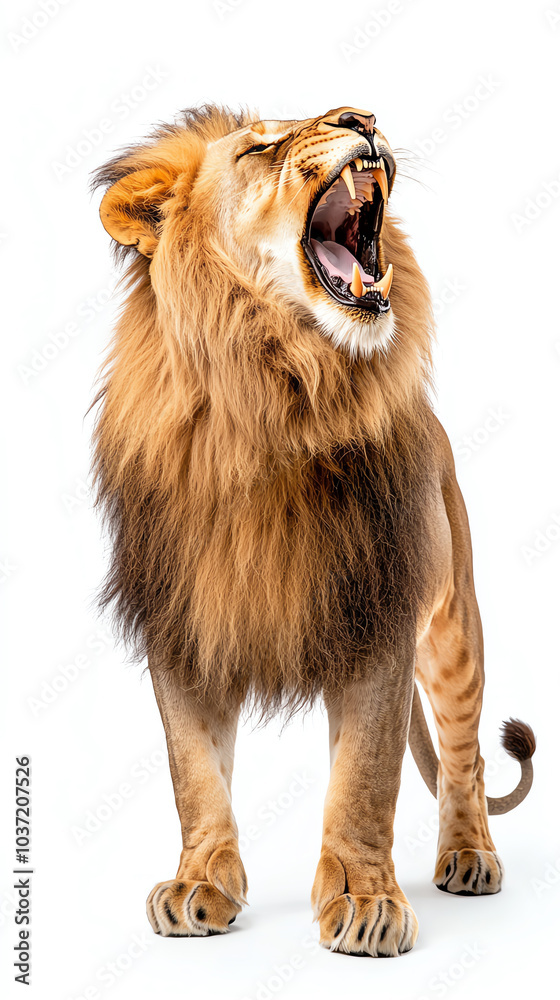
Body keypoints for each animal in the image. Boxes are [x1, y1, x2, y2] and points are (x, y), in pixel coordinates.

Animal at [92, 105, 535, 956]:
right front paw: (199, 885)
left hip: (453, 620)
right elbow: (194, 772)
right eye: (262, 146)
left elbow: (364, 778)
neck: (276, 396)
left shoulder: (377, 615)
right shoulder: (182, 617)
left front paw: (364, 901)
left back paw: (468, 856)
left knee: (462, 756)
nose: (361, 117)